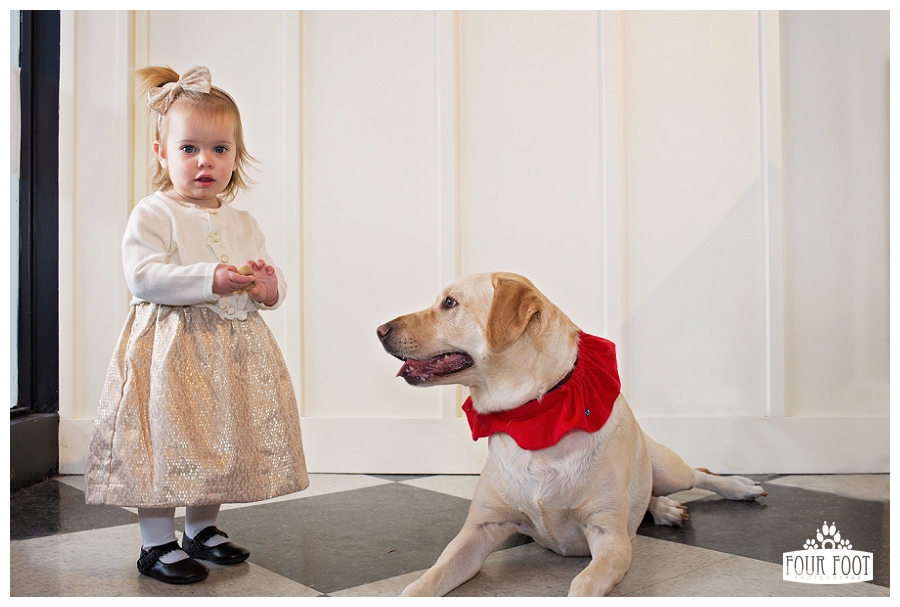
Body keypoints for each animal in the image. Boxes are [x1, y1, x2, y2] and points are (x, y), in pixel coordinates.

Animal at [376, 272, 767, 597]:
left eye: (449, 303)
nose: (380, 330)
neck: (534, 416)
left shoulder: (611, 539)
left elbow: (584, 582)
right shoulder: (479, 530)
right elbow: (424, 581)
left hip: (668, 470)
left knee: (700, 474)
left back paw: (739, 487)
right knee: (648, 499)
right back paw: (663, 508)